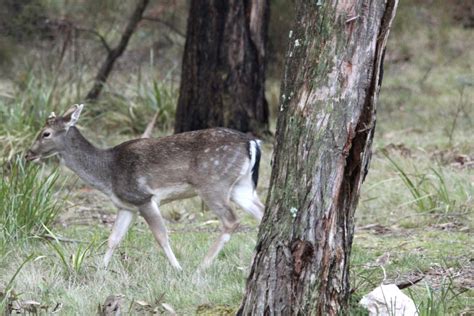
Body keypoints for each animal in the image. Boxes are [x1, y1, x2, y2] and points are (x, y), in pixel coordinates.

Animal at [25, 103, 264, 270]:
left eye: (45, 133)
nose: (28, 153)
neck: (107, 174)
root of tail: (252, 142)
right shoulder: (126, 206)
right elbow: (113, 239)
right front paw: (101, 269)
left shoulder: (143, 197)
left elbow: (161, 236)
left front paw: (177, 268)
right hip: (241, 187)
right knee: (262, 213)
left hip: (213, 184)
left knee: (231, 220)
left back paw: (202, 266)